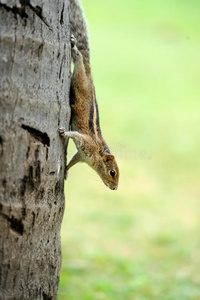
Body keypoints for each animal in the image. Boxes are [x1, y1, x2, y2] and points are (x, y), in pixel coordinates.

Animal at [59, 0, 119, 190]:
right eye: (112, 172)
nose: (115, 188)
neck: (97, 153)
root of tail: (90, 76)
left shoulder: (81, 155)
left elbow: (72, 161)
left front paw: (66, 172)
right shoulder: (86, 142)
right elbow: (74, 134)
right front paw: (63, 132)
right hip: (80, 80)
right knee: (79, 60)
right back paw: (75, 48)